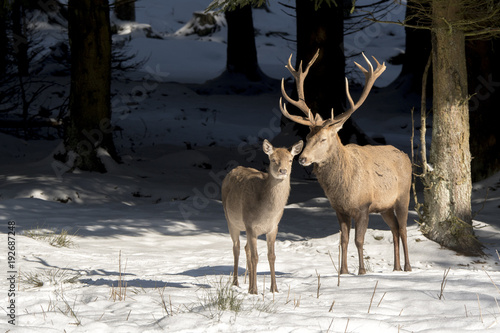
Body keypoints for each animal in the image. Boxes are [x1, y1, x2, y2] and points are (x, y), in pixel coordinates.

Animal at [222, 138, 300, 294]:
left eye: (290, 160)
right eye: (273, 159)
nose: (283, 171)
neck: (266, 214)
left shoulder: (273, 227)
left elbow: (272, 256)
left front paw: (274, 289)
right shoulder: (250, 225)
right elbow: (255, 257)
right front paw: (254, 291)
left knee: (245, 248)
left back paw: (247, 283)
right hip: (230, 220)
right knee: (236, 248)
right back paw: (236, 283)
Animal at [280, 50, 412, 274]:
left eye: (323, 139)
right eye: (307, 137)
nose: (302, 158)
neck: (343, 190)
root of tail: (406, 156)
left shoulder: (364, 206)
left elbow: (359, 240)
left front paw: (361, 271)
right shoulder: (339, 209)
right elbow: (343, 240)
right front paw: (343, 271)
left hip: (403, 195)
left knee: (402, 229)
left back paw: (408, 267)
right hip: (385, 206)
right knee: (394, 228)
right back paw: (396, 268)